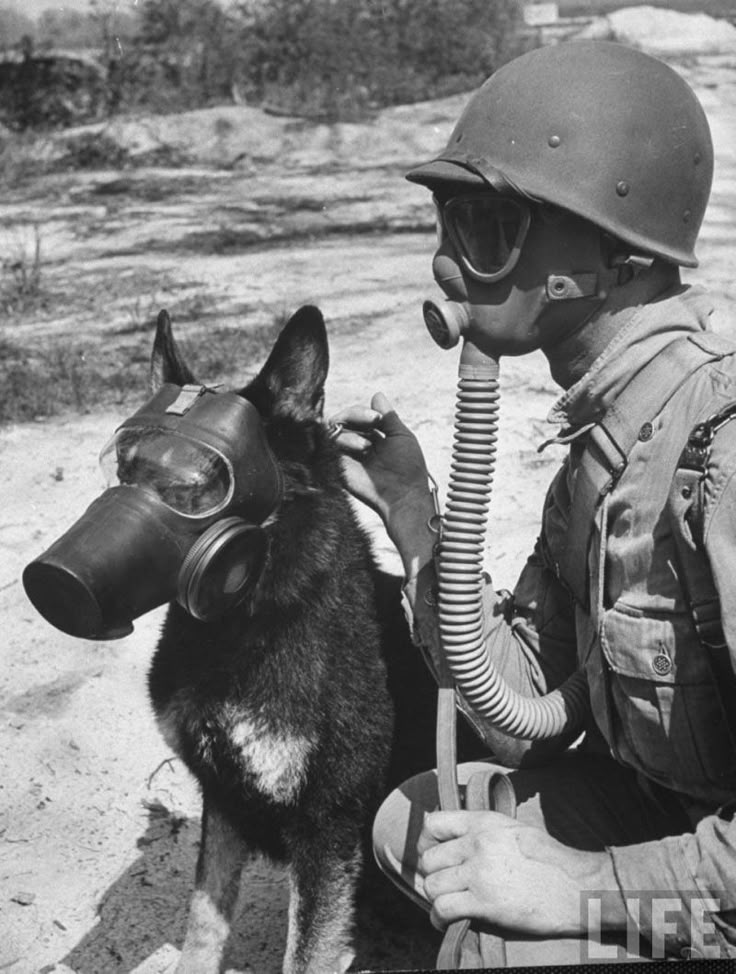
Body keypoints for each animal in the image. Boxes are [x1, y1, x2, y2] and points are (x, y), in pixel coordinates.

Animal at [146, 306, 454, 974]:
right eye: (130, 466)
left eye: (208, 476)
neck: (252, 621)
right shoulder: (223, 798)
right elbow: (203, 923)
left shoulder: (326, 823)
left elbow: (308, 950)